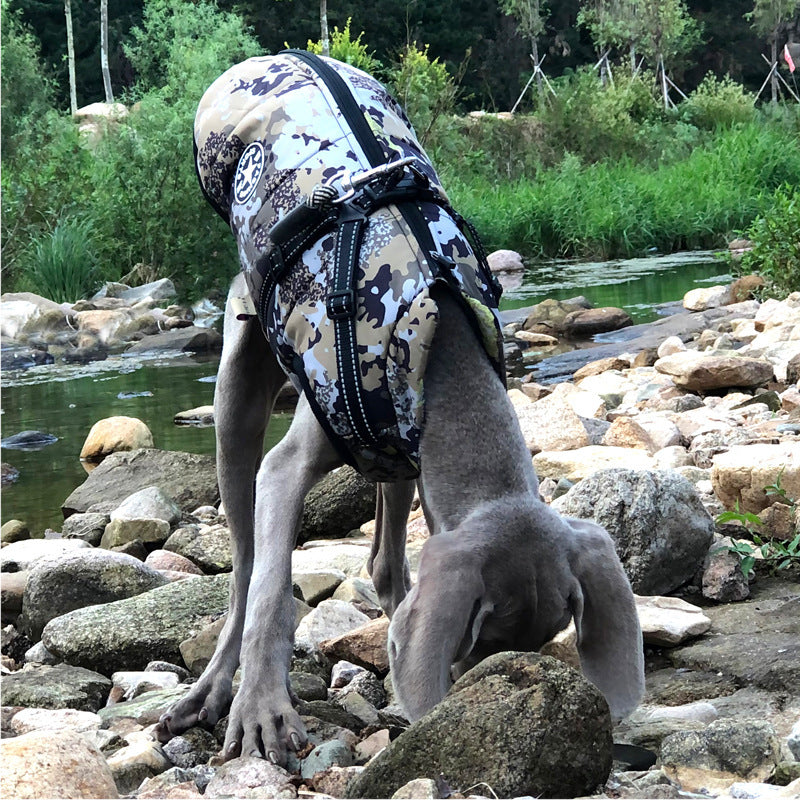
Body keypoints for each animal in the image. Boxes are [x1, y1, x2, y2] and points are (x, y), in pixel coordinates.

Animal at [156, 53, 644, 764]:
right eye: (481, 639)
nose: (483, 693)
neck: (443, 345)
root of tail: (273, 57)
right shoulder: (290, 464)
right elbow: (272, 590)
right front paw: (263, 710)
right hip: (238, 388)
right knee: (246, 568)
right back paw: (217, 687)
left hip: (392, 451)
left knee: (384, 561)